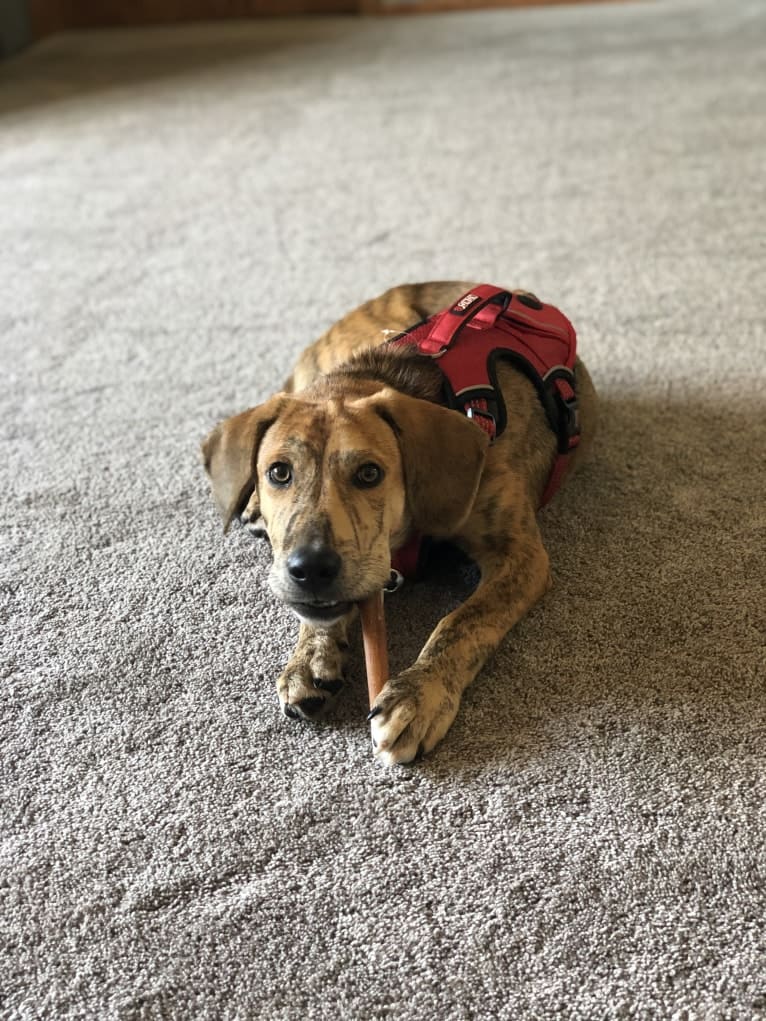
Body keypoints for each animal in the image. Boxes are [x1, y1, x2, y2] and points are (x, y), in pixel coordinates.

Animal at [204, 283, 600, 763]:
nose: (310, 570)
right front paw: (310, 657)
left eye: (369, 473)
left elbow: (462, 622)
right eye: (278, 472)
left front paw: (419, 695)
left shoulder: (520, 556)